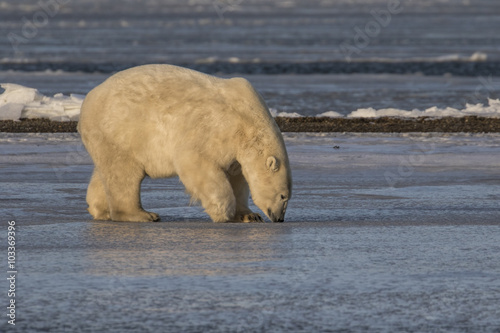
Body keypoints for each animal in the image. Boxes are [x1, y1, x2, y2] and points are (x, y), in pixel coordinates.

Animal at [78, 63, 292, 222]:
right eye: (283, 196)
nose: (279, 218)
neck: (248, 121)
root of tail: (87, 102)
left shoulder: (238, 149)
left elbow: (237, 177)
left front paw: (249, 215)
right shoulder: (217, 129)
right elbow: (196, 163)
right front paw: (224, 211)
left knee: (107, 171)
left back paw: (100, 210)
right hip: (121, 131)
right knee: (125, 175)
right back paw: (143, 215)